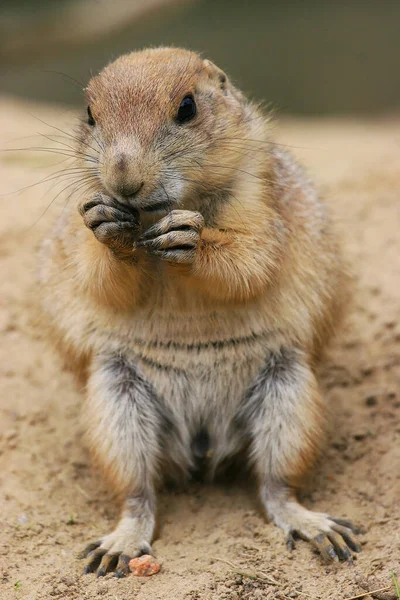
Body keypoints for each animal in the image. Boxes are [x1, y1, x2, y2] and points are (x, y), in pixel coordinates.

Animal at [39, 47, 362, 576]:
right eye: (89, 114)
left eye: (187, 107)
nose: (124, 180)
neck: (157, 213)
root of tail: (203, 442)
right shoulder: (78, 217)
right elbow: (97, 276)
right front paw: (108, 228)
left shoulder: (257, 196)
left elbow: (251, 258)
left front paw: (191, 240)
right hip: (116, 401)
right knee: (137, 493)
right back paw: (119, 544)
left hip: (289, 394)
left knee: (276, 486)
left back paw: (316, 525)